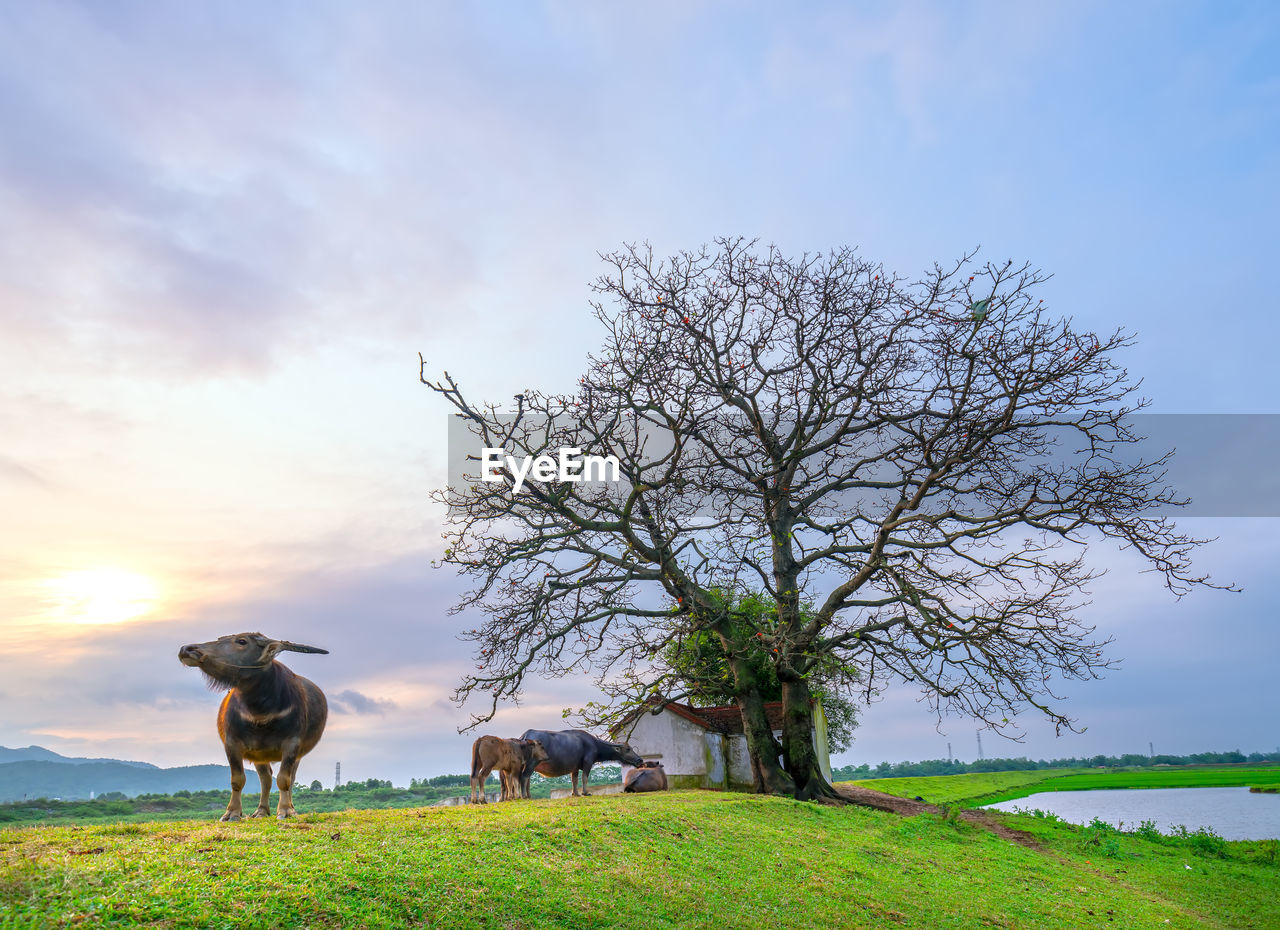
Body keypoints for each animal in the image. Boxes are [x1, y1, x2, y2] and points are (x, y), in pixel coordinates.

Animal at [517, 731, 645, 798]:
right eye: (628, 749)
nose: (640, 760)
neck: (595, 745)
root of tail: (525, 736)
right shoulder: (588, 763)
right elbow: (584, 778)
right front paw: (585, 792)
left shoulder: (575, 768)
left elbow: (574, 780)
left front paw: (576, 793)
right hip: (532, 763)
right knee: (524, 777)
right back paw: (524, 796)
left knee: (526, 779)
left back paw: (528, 796)